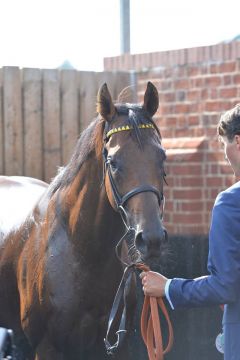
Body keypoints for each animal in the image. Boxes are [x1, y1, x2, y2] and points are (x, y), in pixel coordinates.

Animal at [0, 82, 167, 360]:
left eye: (162, 157)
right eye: (113, 162)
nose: (152, 239)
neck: (82, 251)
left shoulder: (114, 346)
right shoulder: (47, 346)